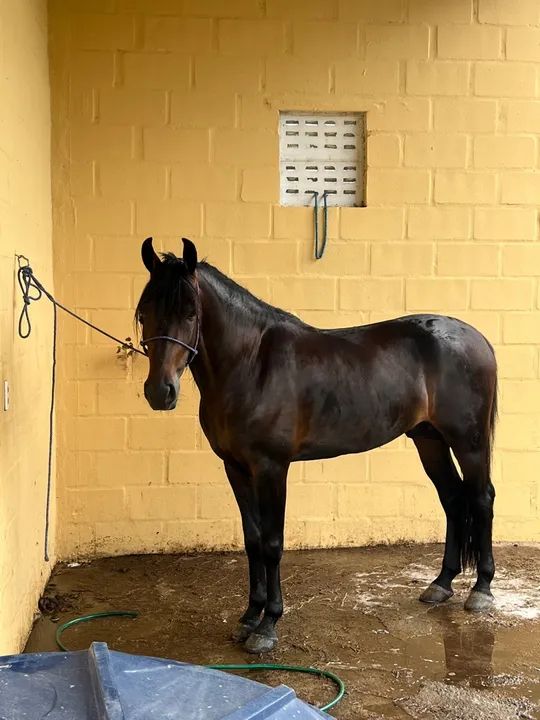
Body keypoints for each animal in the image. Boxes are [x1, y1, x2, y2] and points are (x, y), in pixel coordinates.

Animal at [136, 237, 498, 655]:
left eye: (191, 313)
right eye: (144, 313)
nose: (159, 392)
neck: (251, 364)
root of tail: (477, 338)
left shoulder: (271, 468)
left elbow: (272, 542)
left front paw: (268, 625)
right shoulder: (235, 467)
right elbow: (252, 539)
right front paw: (248, 617)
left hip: (468, 441)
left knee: (481, 498)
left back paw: (481, 590)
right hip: (430, 439)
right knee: (453, 500)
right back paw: (441, 585)